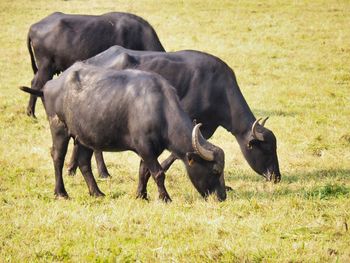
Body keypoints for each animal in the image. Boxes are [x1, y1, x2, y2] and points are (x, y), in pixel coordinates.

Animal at [19, 63, 227, 202]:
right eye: (215, 170)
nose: (222, 196)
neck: (159, 108)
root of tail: (49, 86)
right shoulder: (144, 147)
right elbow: (158, 173)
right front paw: (165, 198)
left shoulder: (151, 150)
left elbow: (144, 172)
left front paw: (141, 195)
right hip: (59, 128)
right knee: (57, 157)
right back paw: (61, 193)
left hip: (84, 137)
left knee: (84, 162)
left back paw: (96, 192)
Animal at [69, 45, 280, 185]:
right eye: (267, 150)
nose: (276, 176)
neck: (216, 88)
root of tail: (90, 61)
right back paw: (99, 171)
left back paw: (76, 169)